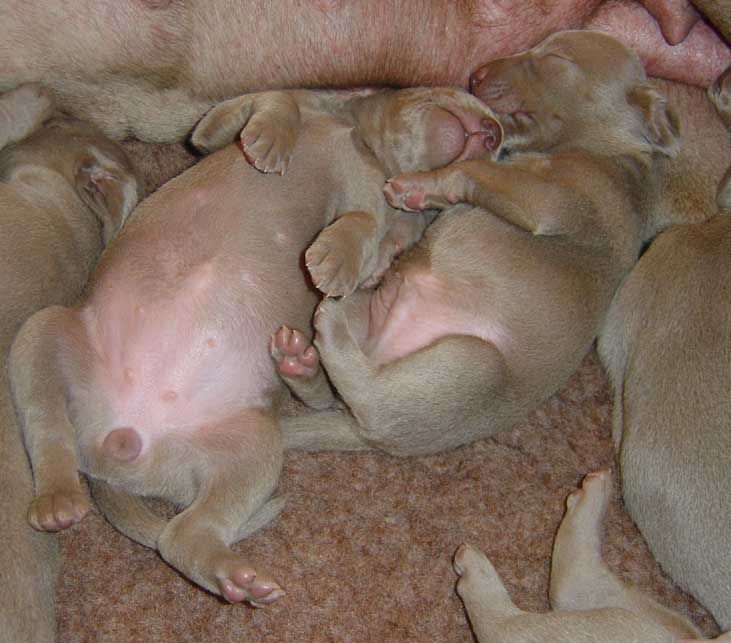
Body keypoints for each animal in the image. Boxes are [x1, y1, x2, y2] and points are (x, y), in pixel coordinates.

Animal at [8, 86, 502, 606]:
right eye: (460, 91)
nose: (495, 133)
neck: (360, 143)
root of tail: (121, 445)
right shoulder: (217, 130)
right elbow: (278, 99)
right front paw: (270, 141)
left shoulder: (382, 220)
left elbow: (365, 224)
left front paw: (336, 258)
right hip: (42, 334)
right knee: (49, 434)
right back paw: (57, 500)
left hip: (254, 449)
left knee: (183, 534)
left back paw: (236, 576)